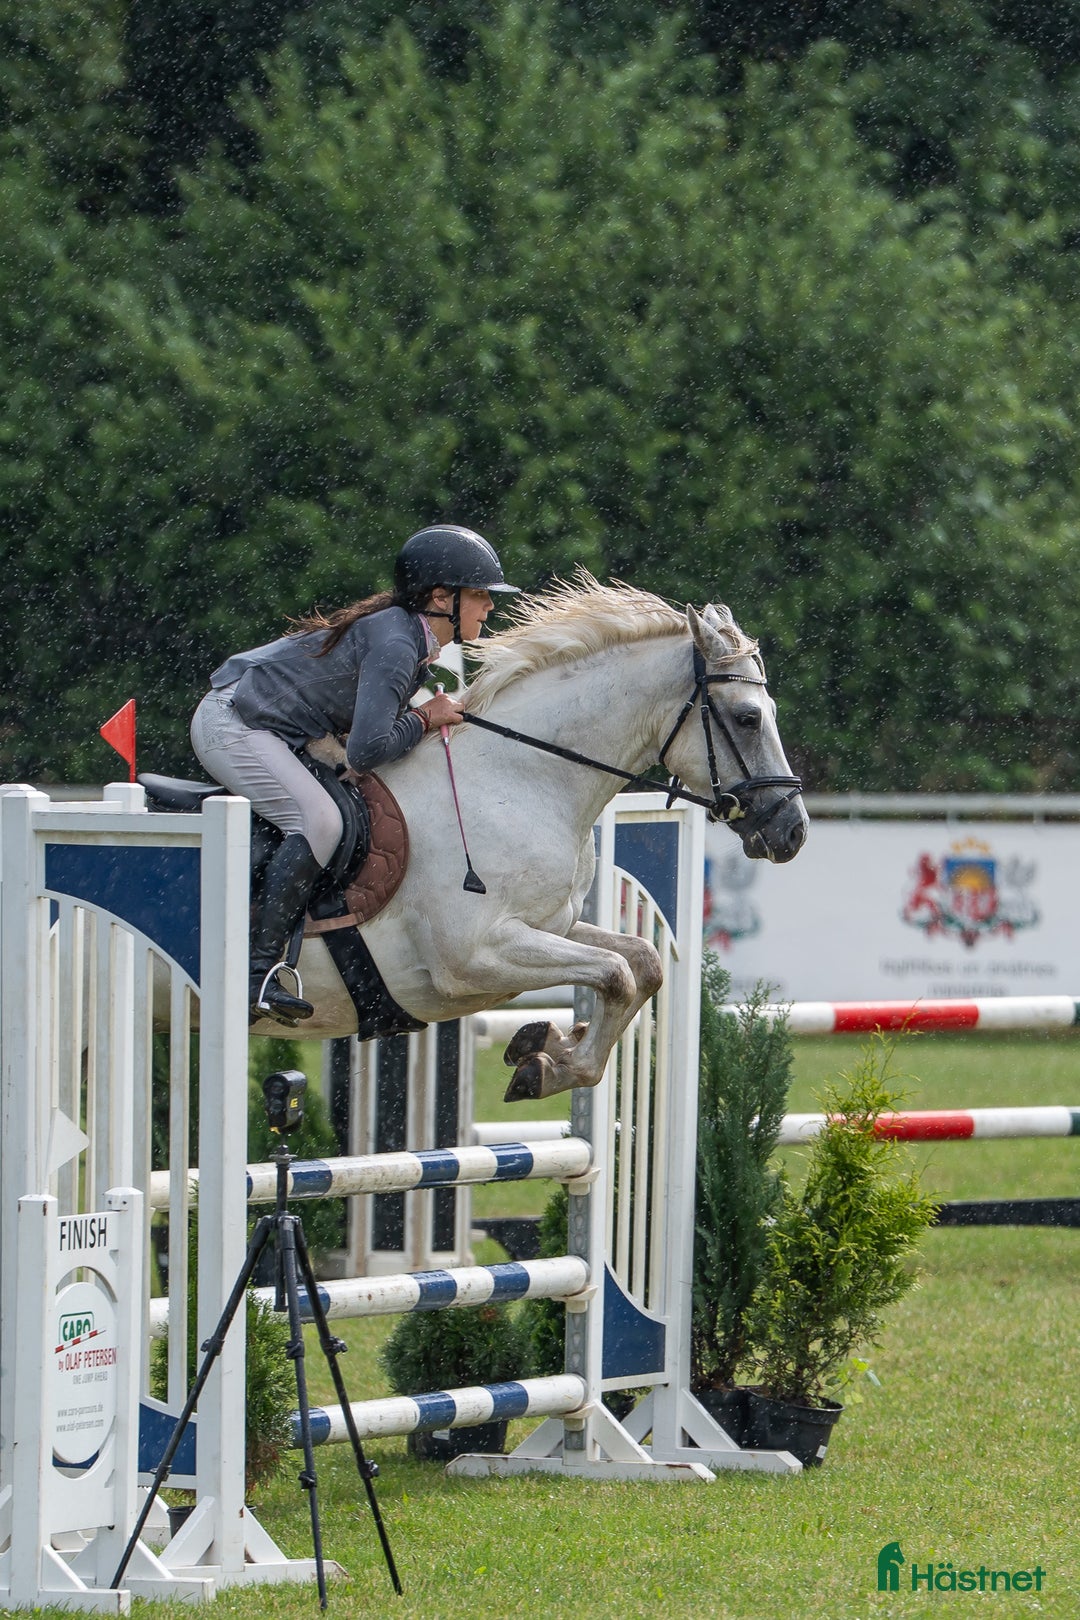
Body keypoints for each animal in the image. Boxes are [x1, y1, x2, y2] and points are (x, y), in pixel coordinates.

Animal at [196, 577, 808, 1101]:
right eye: (749, 718)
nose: (793, 830)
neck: (517, 779)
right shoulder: (475, 956)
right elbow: (615, 974)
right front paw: (551, 1063)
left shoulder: (548, 925)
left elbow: (643, 963)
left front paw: (547, 1046)